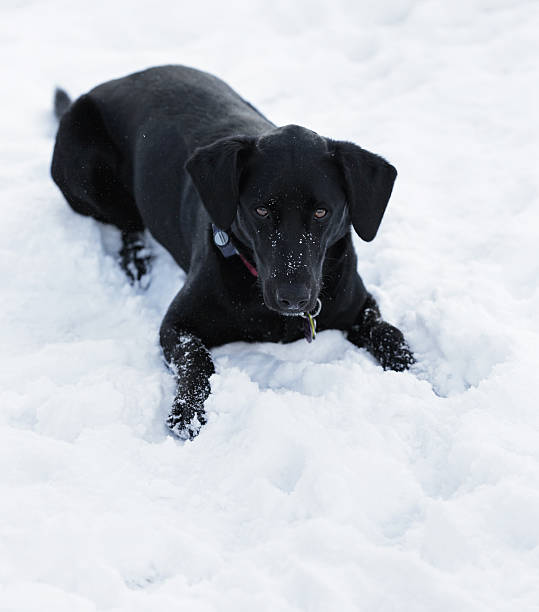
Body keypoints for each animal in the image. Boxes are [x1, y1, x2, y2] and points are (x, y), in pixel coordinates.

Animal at [51, 64, 414, 438]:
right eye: (261, 210)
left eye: (321, 212)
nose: (293, 297)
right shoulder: (177, 324)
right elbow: (196, 358)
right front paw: (187, 410)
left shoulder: (359, 303)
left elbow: (389, 332)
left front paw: (415, 372)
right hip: (89, 175)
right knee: (127, 225)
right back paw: (137, 264)